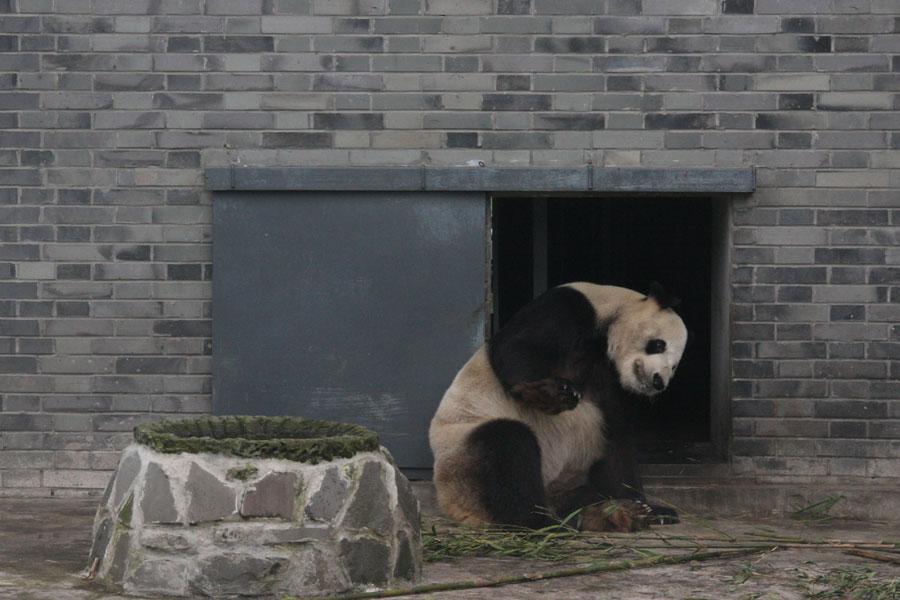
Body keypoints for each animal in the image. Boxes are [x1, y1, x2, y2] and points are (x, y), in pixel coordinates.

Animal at [428, 282, 688, 528]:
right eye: (658, 345)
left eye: (675, 366)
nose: (658, 381)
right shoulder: (569, 306)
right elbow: (517, 347)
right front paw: (553, 394)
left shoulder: (612, 380)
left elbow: (618, 441)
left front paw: (648, 508)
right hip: (462, 452)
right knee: (507, 448)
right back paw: (540, 522)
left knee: (582, 497)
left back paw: (617, 514)